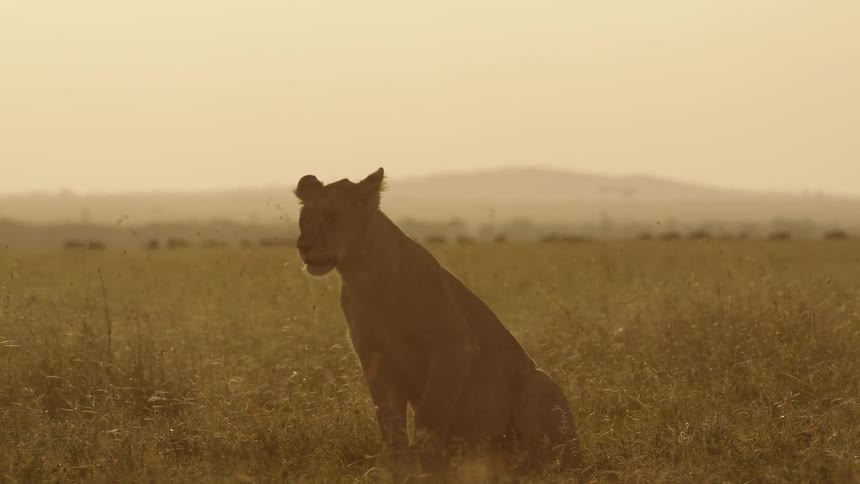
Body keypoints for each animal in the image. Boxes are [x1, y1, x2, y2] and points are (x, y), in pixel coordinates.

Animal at [294, 168, 580, 481]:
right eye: (304, 219)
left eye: (331, 217)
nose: (303, 247)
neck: (364, 276)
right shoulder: (374, 356)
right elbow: (390, 424)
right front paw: (401, 472)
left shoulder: (454, 345)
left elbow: (430, 417)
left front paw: (429, 469)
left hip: (533, 380)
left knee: (545, 458)